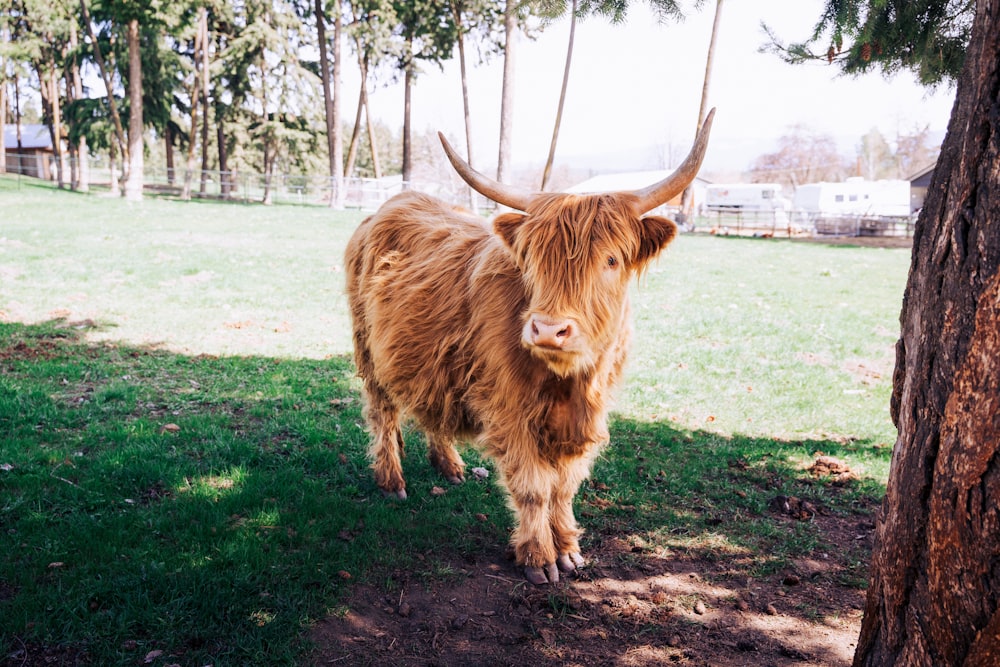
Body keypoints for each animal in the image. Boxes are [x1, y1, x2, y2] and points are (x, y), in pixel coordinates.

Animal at [348, 111, 716, 584]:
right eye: (534, 260)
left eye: (611, 260)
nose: (547, 330)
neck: (569, 381)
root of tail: (395, 203)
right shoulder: (510, 410)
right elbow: (534, 487)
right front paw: (539, 557)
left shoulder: (587, 414)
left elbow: (564, 487)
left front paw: (570, 549)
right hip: (368, 349)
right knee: (383, 413)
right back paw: (392, 481)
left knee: (433, 405)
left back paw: (449, 466)